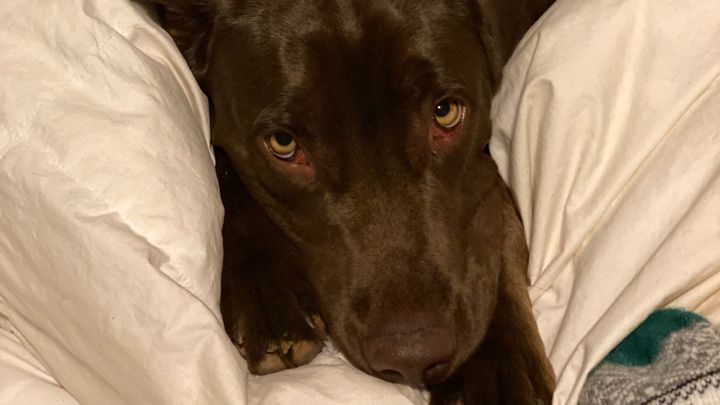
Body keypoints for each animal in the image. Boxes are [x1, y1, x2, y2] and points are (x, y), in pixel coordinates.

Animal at [149, 0, 556, 403]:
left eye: (446, 112)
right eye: (283, 143)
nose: (412, 355)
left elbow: (493, 218)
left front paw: (493, 363)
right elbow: (224, 169)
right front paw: (263, 289)